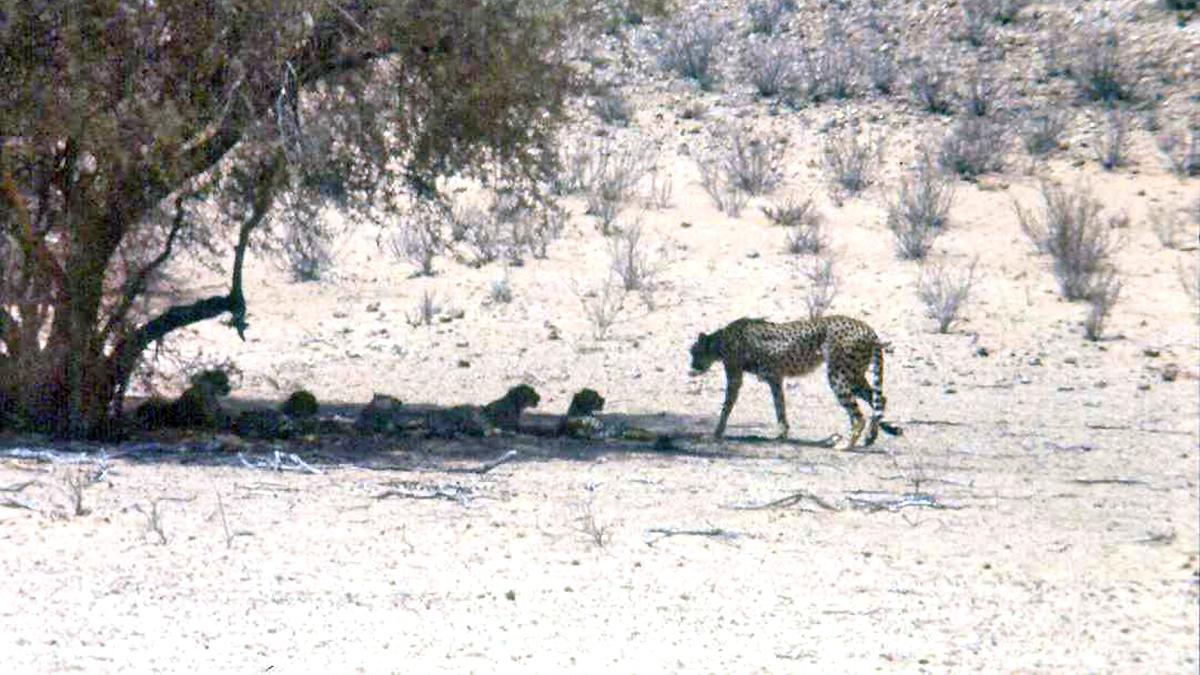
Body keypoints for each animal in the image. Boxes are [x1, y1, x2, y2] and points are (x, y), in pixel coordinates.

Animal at [689, 315, 902, 449]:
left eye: (694, 352)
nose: (691, 367)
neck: (720, 340)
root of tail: (866, 328)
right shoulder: (774, 378)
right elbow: (779, 406)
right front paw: (782, 434)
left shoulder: (736, 377)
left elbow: (727, 406)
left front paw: (716, 432)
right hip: (854, 376)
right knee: (879, 399)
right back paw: (870, 437)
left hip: (839, 376)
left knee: (858, 416)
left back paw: (846, 445)